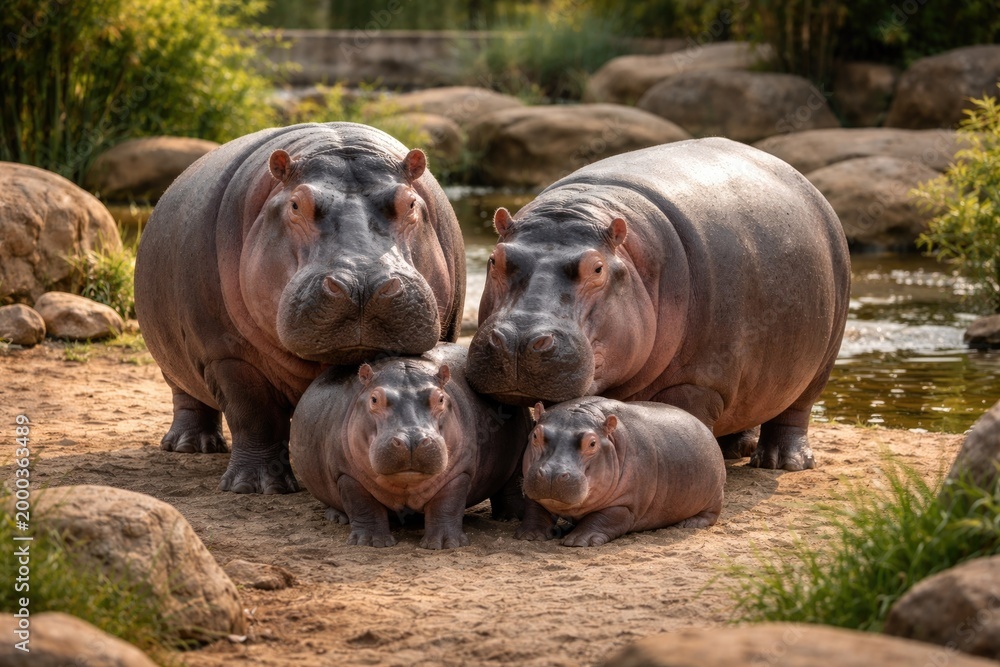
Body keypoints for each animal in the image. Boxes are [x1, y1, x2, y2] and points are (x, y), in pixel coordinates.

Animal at [134, 123, 465, 494]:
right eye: (295, 204)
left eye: (409, 202)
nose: (361, 285)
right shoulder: (226, 355)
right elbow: (253, 414)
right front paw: (256, 487)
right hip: (171, 358)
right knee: (187, 396)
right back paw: (191, 446)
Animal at [289, 343, 529, 549]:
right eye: (374, 399)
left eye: (440, 398)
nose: (411, 440)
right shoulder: (346, 474)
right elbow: (362, 505)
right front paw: (371, 542)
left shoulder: (460, 472)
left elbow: (447, 504)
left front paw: (444, 544)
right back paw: (337, 517)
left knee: (511, 485)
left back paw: (510, 517)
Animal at [468, 138, 850, 471]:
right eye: (495, 258)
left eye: (597, 268)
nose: (517, 341)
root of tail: (803, 180)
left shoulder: (697, 384)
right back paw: (734, 449)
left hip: (822, 358)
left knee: (794, 411)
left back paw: (781, 462)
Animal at [516, 397, 725, 547]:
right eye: (536, 435)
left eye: (592, 443)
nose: (552, 474)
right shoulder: (533, 493)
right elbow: (535, 510)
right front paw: (531, 534)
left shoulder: (625, 504)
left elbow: (604, 518)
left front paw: (579, 540)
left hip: (715, 494)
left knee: (711, 514)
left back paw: (690, 523)